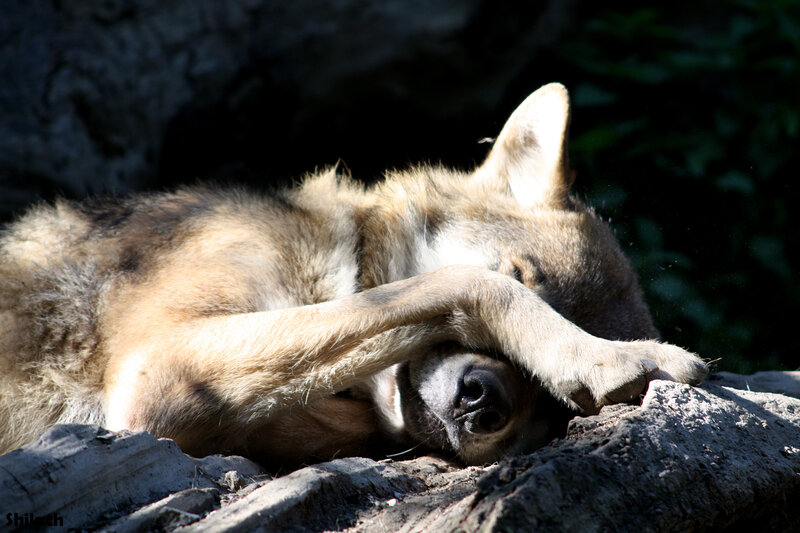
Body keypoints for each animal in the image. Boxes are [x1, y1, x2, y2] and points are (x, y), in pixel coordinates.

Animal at [0, 84, 707, 468]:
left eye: (554, 411)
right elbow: (463, 286)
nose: (483, 401)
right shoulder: (158, 365)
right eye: (523, 274)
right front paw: (611, 356)